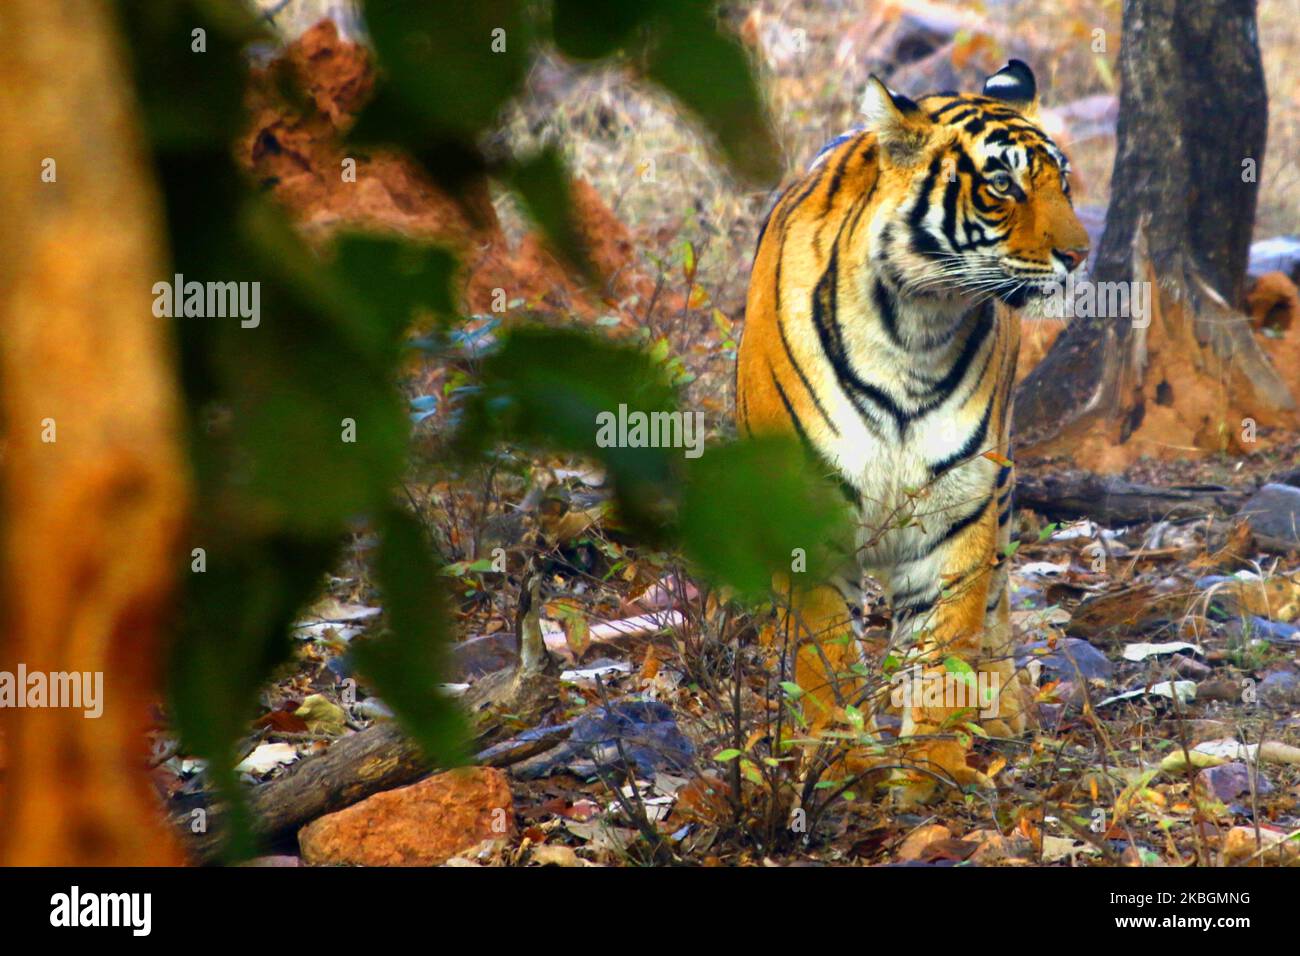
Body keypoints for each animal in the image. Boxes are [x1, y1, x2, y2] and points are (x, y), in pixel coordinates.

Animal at [738, 55, 1092, 796]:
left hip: (1002, 488)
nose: (1080, 255)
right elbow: (826, 655)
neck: (915, 325)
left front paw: (931, 766)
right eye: (1002, 184)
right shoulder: (806, 508)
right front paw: (842, 760)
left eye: (1064, 183)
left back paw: (1002, 710)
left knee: (997, 603)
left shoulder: (958, 504)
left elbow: (943, 644)